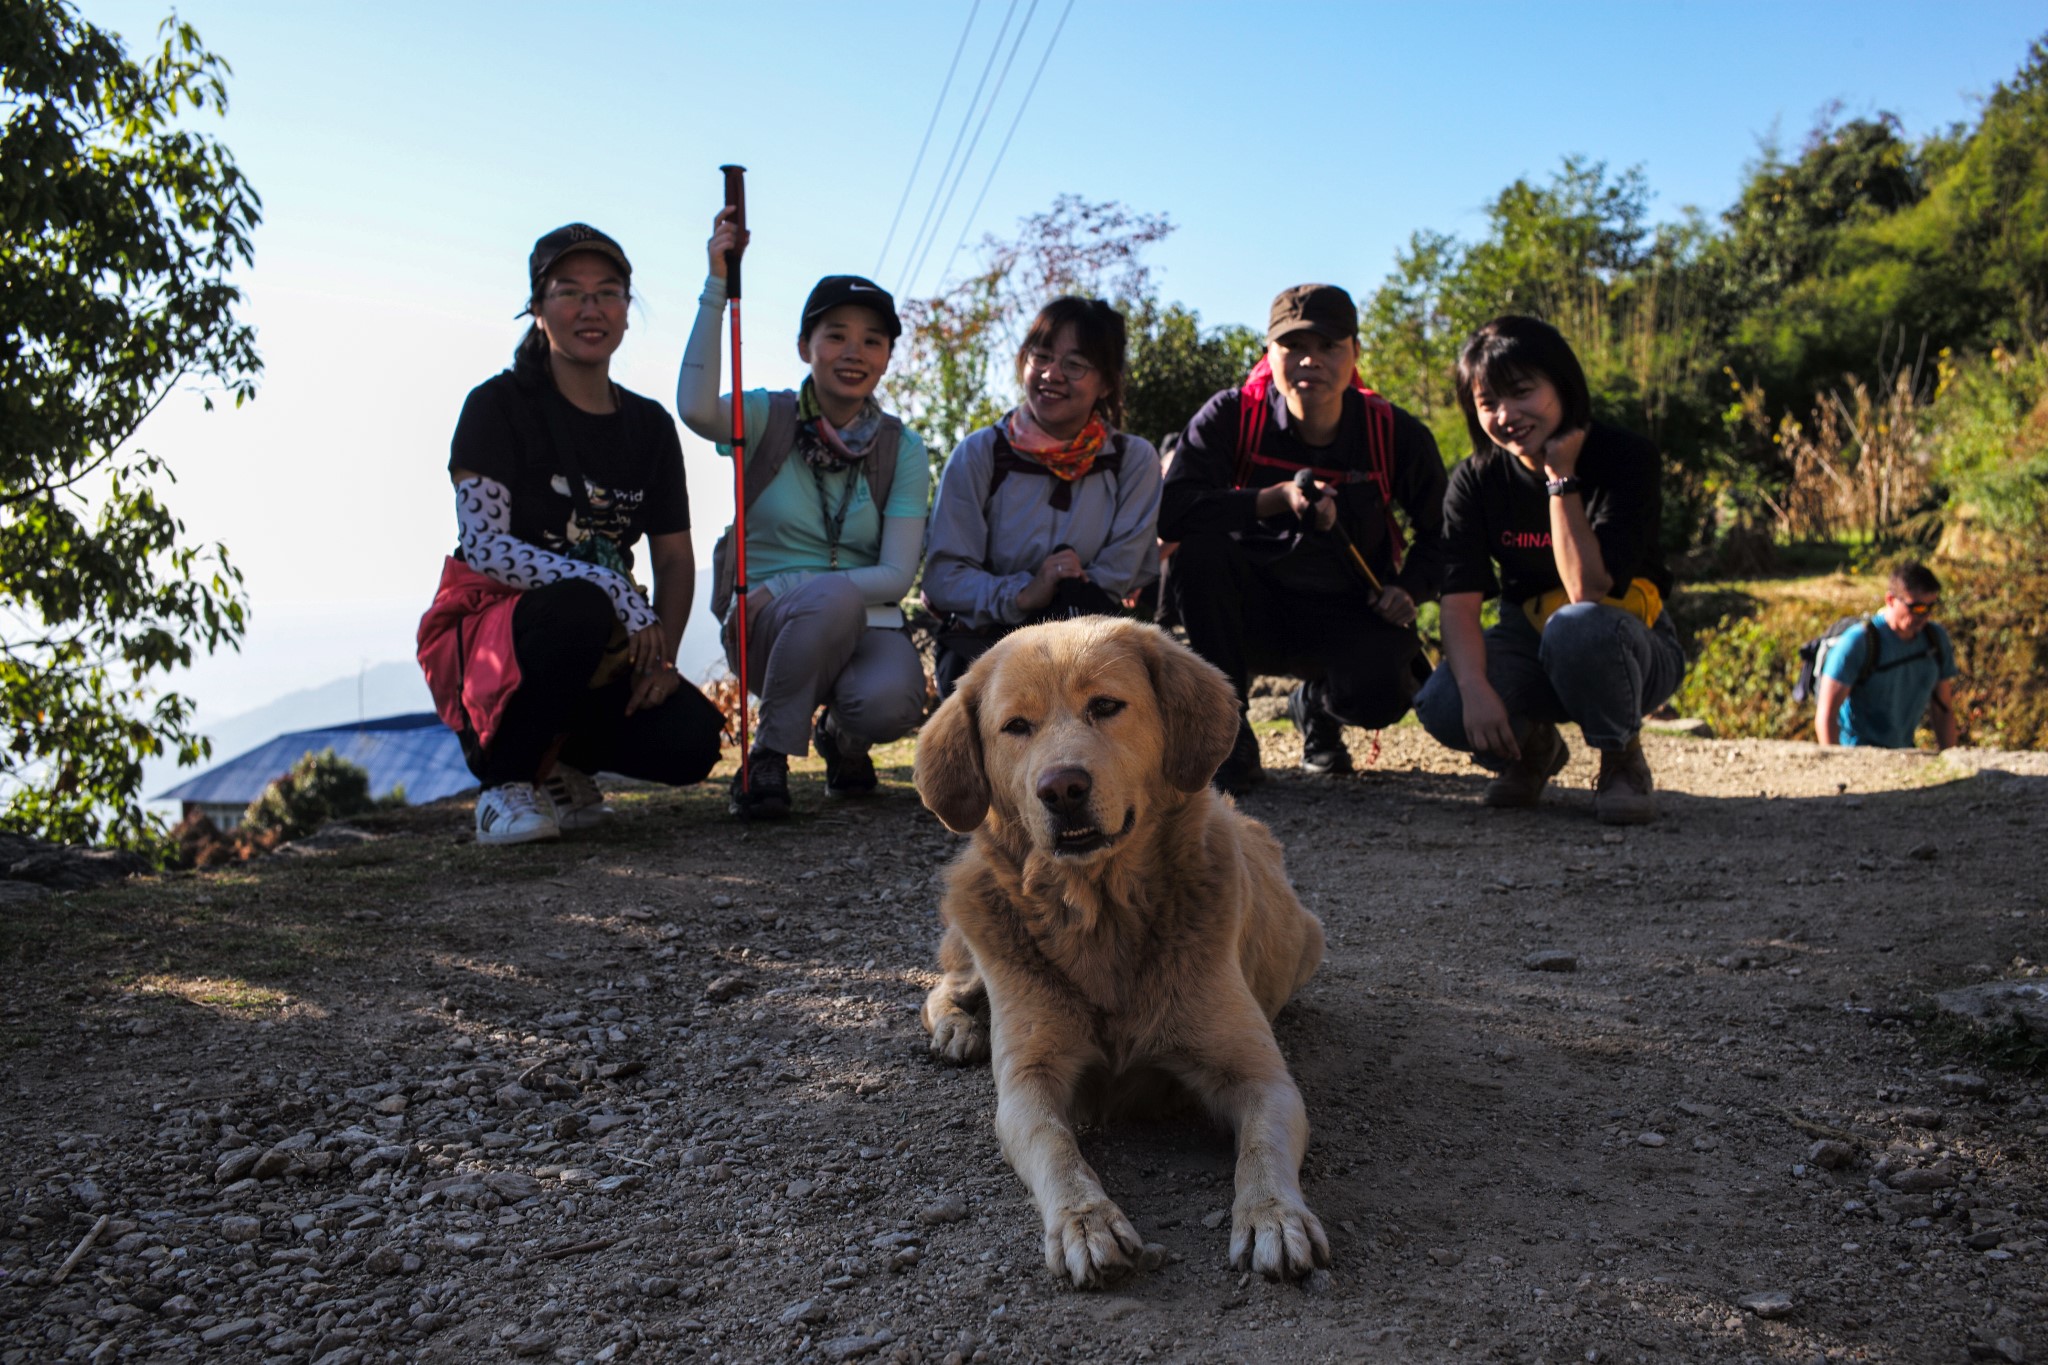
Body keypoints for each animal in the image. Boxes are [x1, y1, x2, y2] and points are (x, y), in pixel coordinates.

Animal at [921, 618, 1335, 1293]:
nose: (1062, 787)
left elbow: (1261, 1150)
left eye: (1106, 706)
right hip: (978, 933)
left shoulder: (1261, 1077)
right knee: (942, 985)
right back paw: (957, 1030)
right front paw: (1086, 1222)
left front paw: (1274, 1216)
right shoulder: (1028, 1081)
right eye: (1016, 726)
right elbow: (1055, 1146)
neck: (1100, 912)